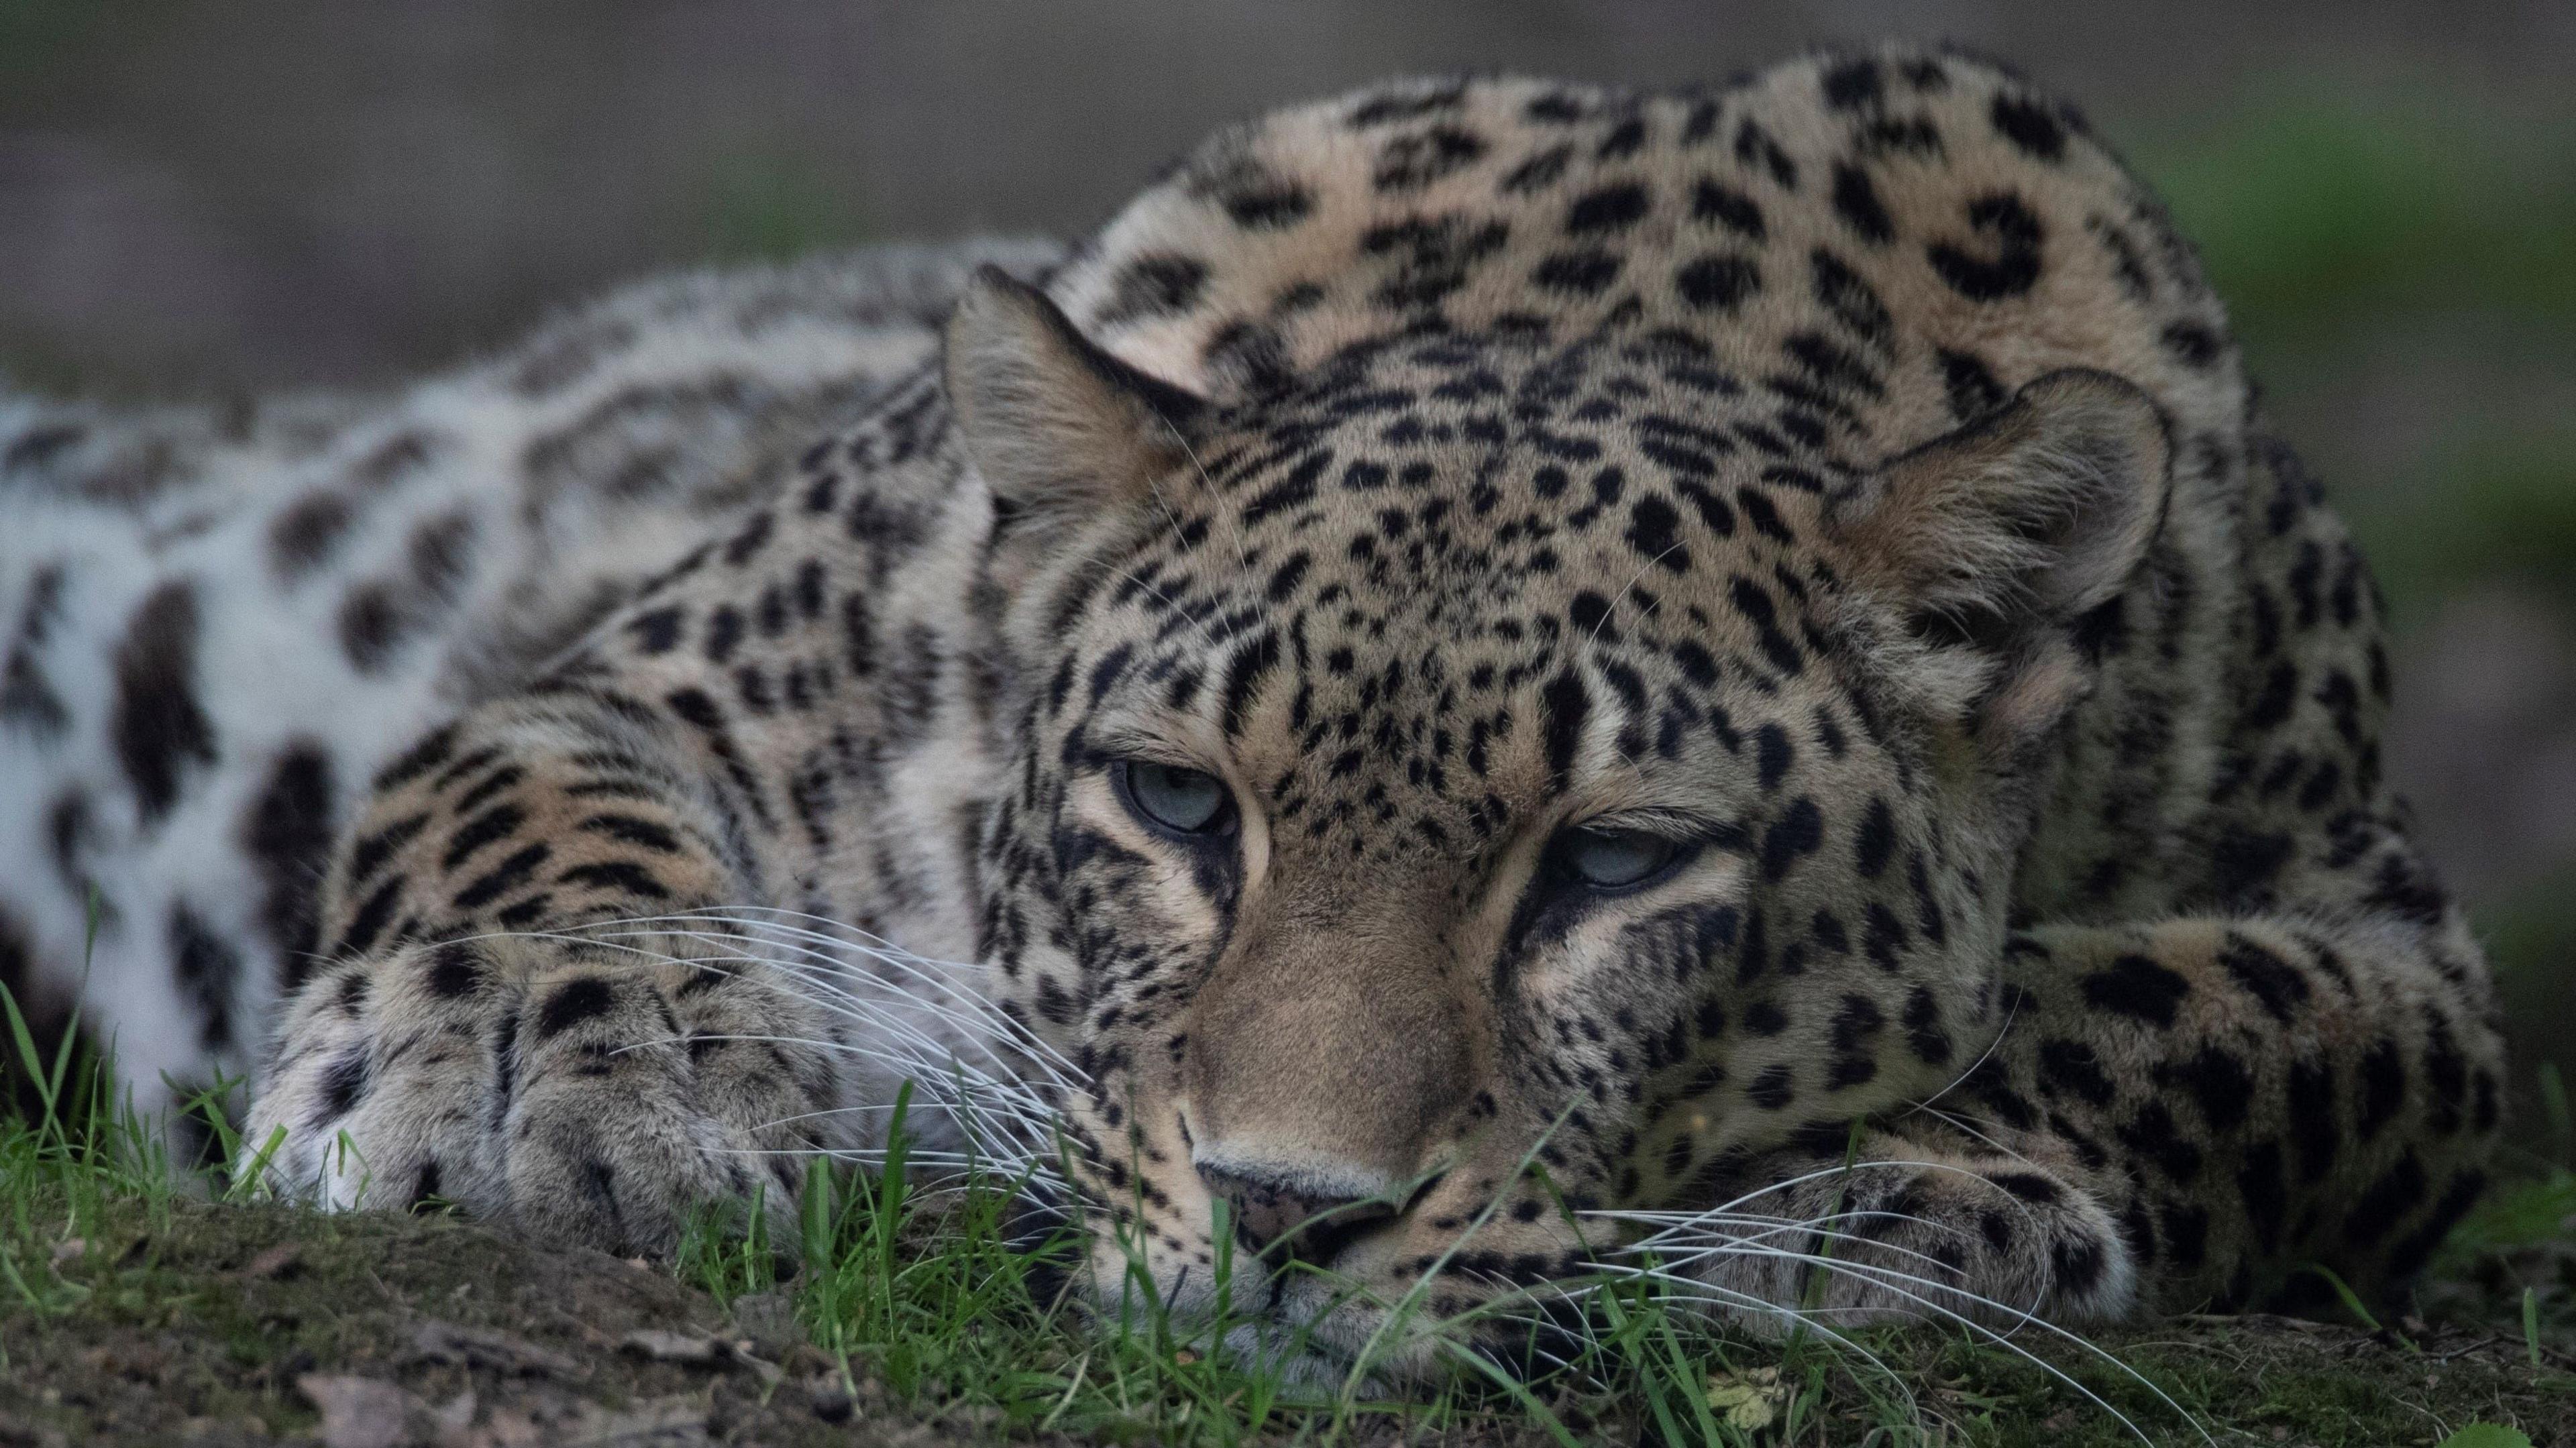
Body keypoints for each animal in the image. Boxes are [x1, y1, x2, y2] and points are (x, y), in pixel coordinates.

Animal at [10, 44, 2504, 1384]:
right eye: (1171, 801)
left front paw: (1893, 1189)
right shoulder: (669, 665)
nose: (1286, 1214)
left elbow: (2219, 1017)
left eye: (1615, 858)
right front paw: (551, 1080)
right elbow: (523, 830)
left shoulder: (2394, 938)